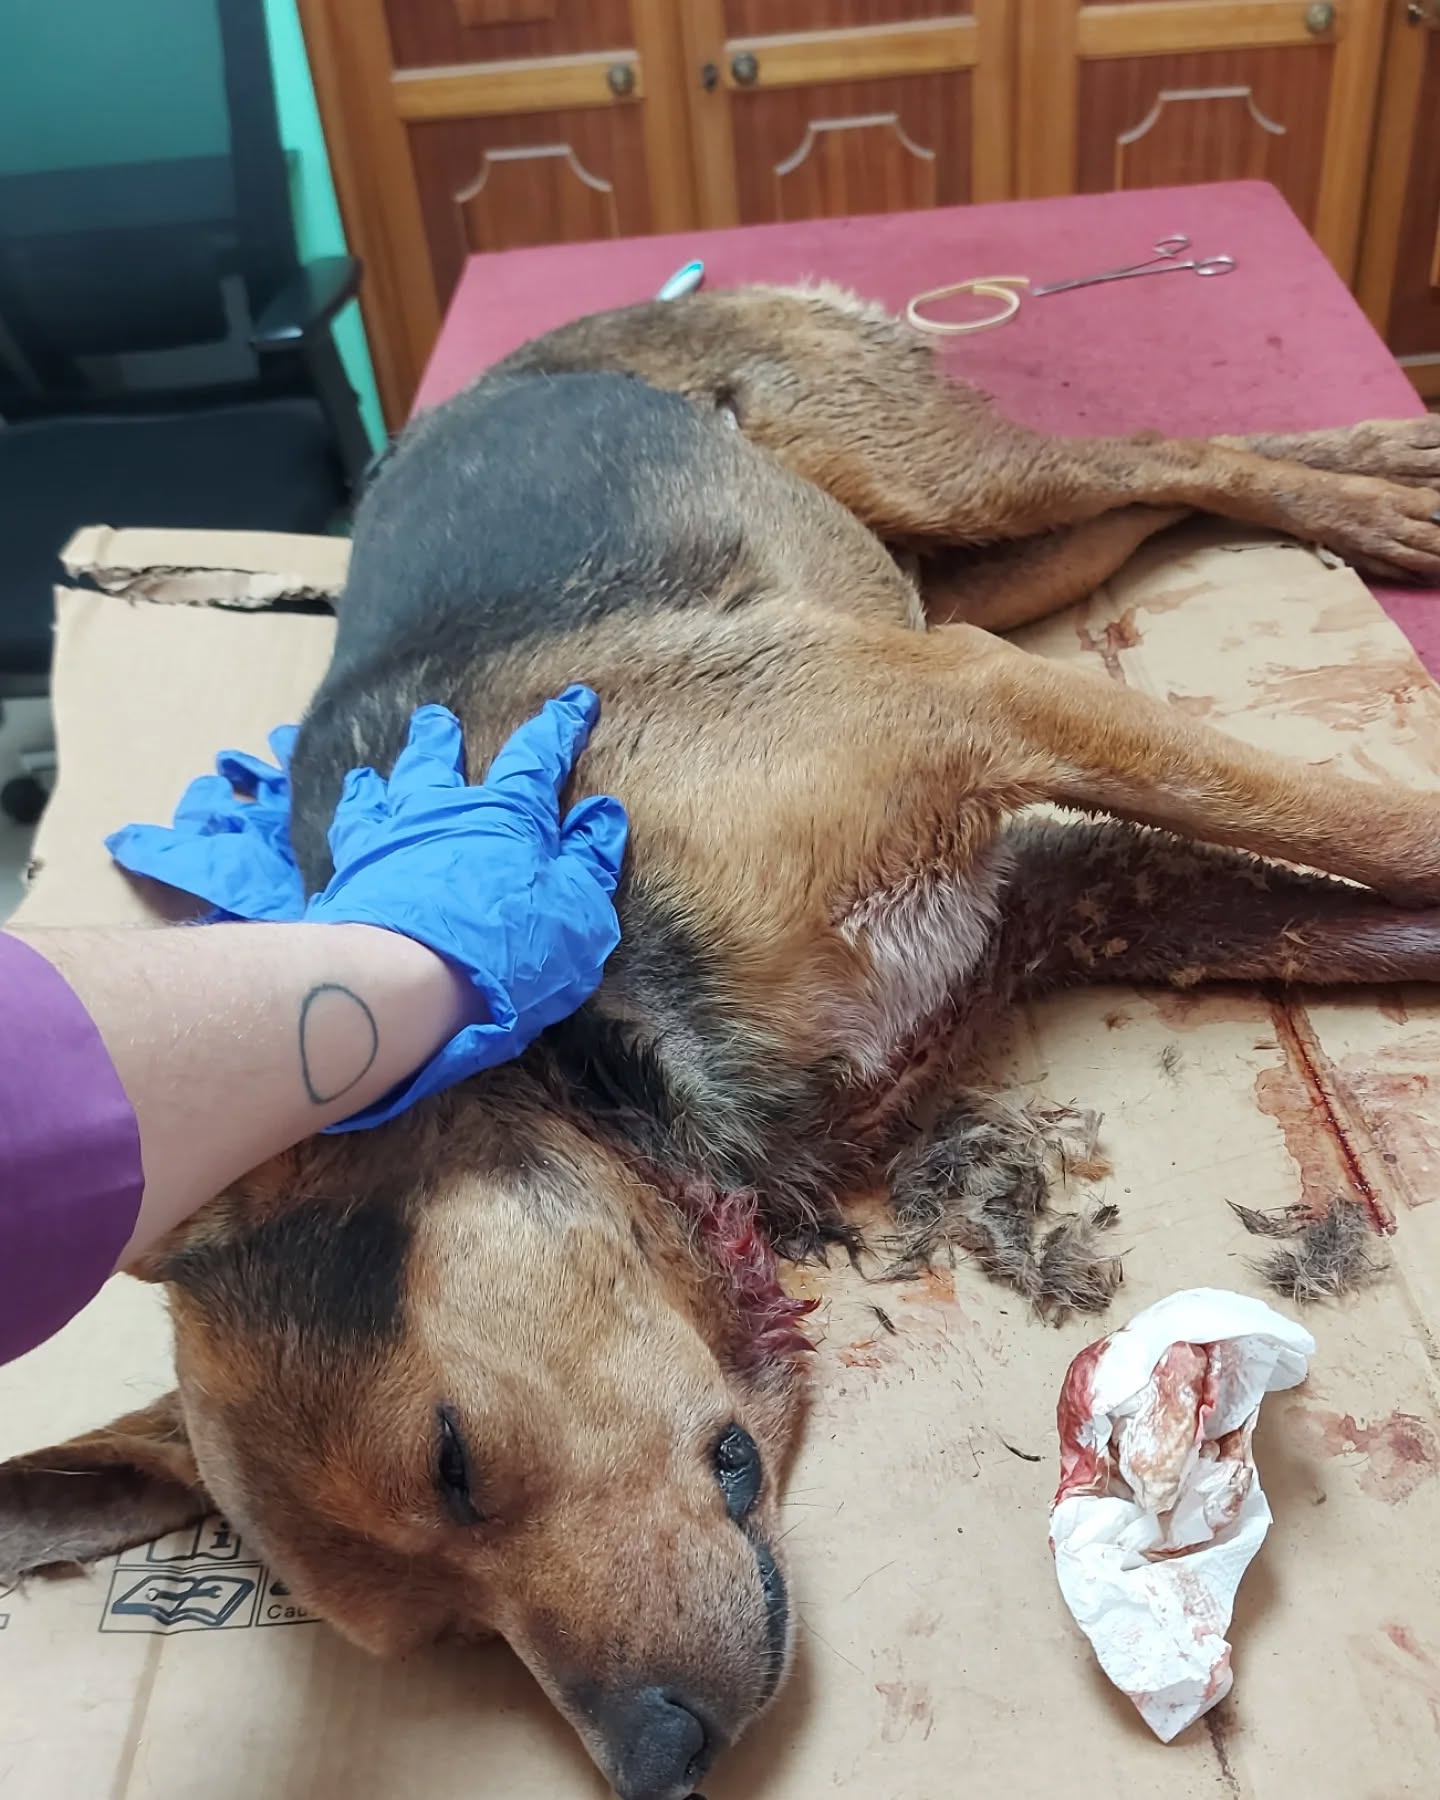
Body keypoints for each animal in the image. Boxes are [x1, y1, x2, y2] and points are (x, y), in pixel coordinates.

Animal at [6, 285, 1440, 1800]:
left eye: (454, 1462)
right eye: (450, 1638)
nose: (654, 1767)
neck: (603, 1059)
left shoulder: (976, 703)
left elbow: (1376, 830)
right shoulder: (1072, 893)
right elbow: (1358, 904)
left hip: (940, 491)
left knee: (1168, 448)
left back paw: (1377, 490)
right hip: (968, 572)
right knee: (1151, 495)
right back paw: (1381, 480)